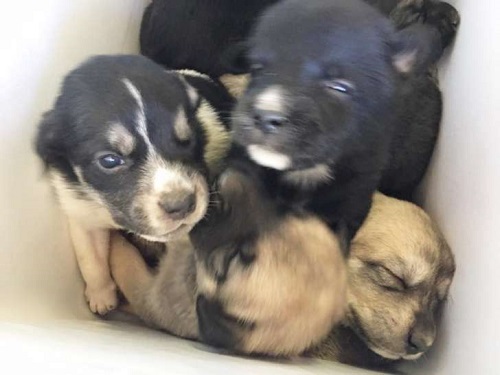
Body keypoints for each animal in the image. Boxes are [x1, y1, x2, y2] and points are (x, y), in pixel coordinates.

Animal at [34, 54, 233, 316]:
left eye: (187, 140)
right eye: (109, 160)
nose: (181, 205)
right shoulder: (79, 208)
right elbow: (90, 258)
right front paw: (101, 296)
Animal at [109, 168, 346, 358]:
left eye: (228, 260)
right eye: (290, 211)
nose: (228, 178)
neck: (195, 269)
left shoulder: (148, 295)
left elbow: (126, 263)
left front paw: (116, 242)